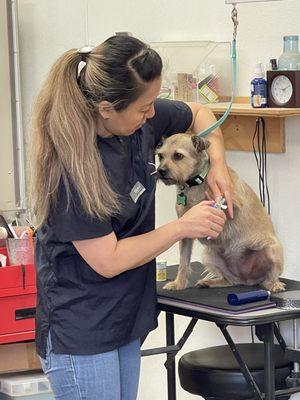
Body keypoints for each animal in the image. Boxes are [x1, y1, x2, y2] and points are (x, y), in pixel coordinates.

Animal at [156, 133, 284, 292]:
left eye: (178, 155)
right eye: (160, 156)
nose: (160, 171)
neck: (195, 184)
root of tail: (248, 279)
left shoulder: (233, 201)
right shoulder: (185, 231)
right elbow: (183, 261)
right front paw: (178, 283)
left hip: (272, 249)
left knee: (270, 275)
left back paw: (274, 284)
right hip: (210, 256)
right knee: (232, 280)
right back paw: (211, 282)